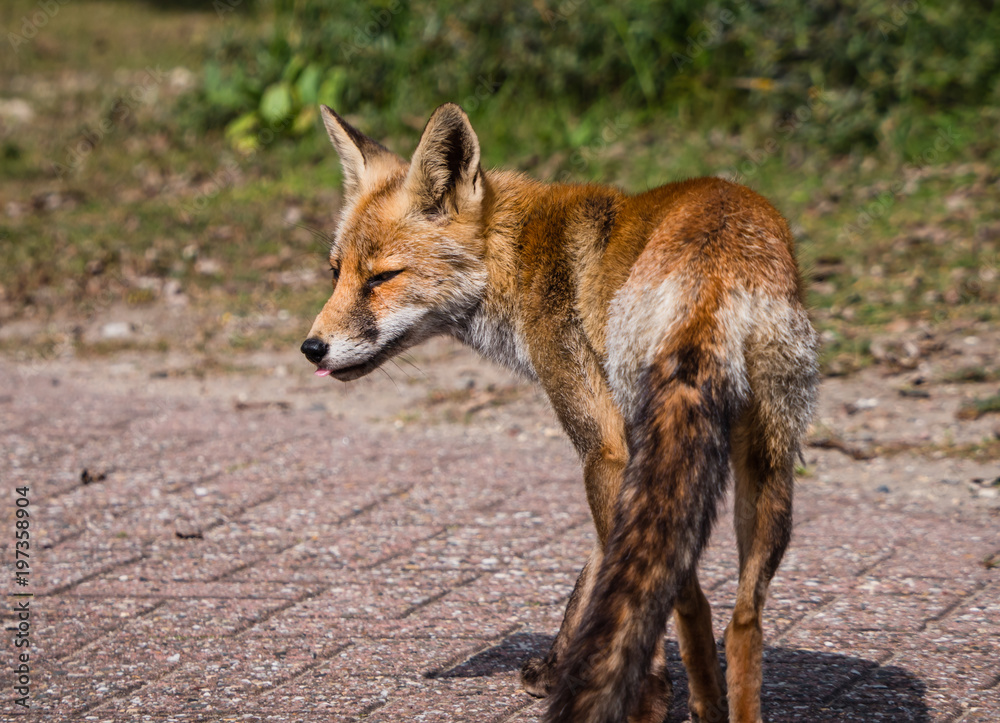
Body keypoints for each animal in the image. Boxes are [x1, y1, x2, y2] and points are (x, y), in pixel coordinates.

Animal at [301, 102, 819, 723]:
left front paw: (617, 684)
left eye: (382, 277)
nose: (311, 348)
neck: (517, 256)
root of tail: (718, 265)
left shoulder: (605, 443)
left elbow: (612, 575)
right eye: (337, 273)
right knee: (740, 621)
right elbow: (599, 569)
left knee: (685, 596)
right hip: (768, 465)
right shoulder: (629, 454)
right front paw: (563, 667)